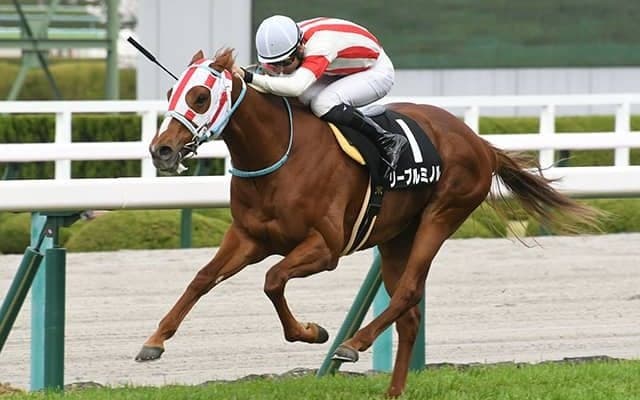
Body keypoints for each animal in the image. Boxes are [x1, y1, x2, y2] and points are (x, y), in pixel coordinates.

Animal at [137, 48, 600, 397]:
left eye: (199, 96)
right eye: (170, 91)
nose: (162, 150)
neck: (279, 156)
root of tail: (480, 142)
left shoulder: (325, 248)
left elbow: (272, 280)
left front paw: (313, 332)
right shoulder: (249, 237)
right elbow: (202, 278)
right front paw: (153, 342)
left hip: (440, 215)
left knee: (409, 292)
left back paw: (353, 343)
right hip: (397, 237)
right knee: (410, 314)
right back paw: (392, 391)